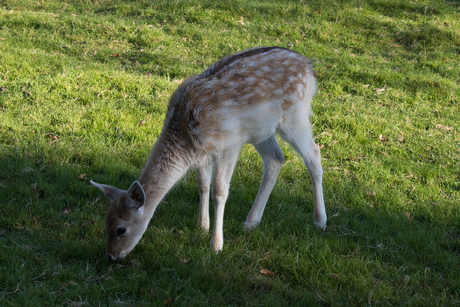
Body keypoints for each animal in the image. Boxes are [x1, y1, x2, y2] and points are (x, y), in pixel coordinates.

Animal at [90, 46, 328, 262]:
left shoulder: (229, 145)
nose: (111, 256)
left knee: (314, 154)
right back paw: (251, 221)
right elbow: (202, 184)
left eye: (121, 229)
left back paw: (320, 220)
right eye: (105, 221)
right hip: (262, 131)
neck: (183, 136)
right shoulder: (201, 152)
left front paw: (216, 245)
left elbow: (219, 191)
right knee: (276, 159)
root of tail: (309, 67)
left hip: (295, 115)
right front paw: (202, 226)